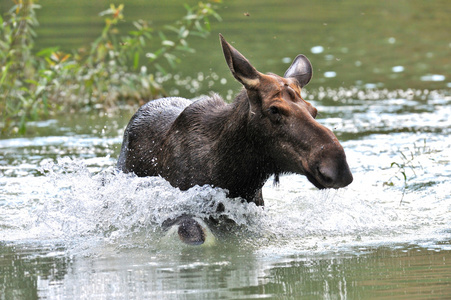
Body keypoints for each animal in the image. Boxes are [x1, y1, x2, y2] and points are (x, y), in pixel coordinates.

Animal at [118, 35, 354, 245]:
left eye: (313, 110)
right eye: (274, 109)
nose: (337, 167)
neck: (234, 177)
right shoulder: (176, 212)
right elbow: (195, 235)